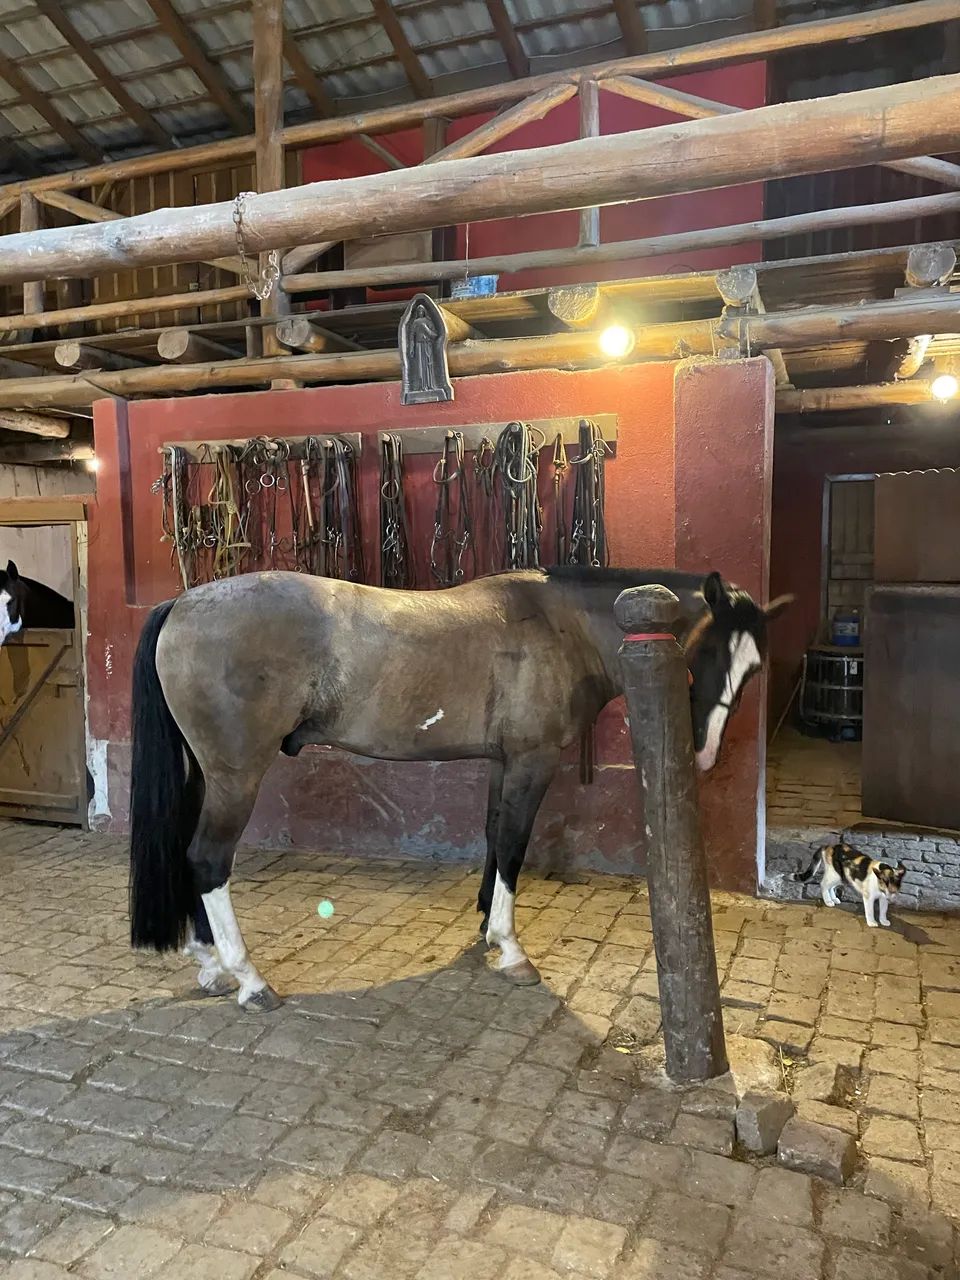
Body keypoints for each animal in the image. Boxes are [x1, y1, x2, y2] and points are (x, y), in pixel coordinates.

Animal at [128, 566, 790, 1012]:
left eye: (754, 668)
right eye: (702, 650)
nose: (704, 754)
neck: (561, 625)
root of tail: (182, 602)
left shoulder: (504, 764)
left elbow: (495, 838)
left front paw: (486, 931)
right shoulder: (531, 763)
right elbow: (515, 848)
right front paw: (511, 949)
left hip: (207, 776)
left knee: (192, 855)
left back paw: (212, 964)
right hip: (236, 777)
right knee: (208, 858)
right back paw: (248, 979)